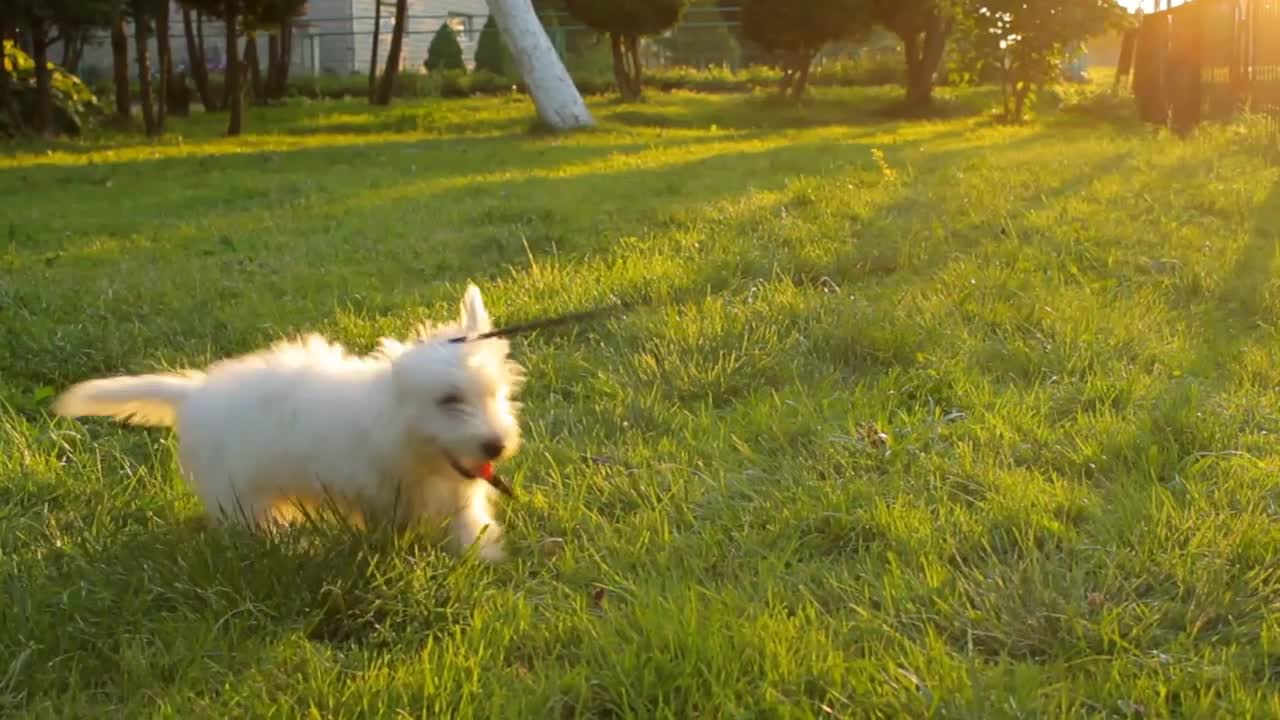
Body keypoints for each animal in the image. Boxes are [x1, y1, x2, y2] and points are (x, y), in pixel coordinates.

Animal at [53, 283, 524, 558]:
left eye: (496, 394)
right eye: (449, 400)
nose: (496, 445)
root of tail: (195, 392)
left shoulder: (453, 495)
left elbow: (470, 527)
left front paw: (482, 562)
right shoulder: (372, 491)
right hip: (239, 493)